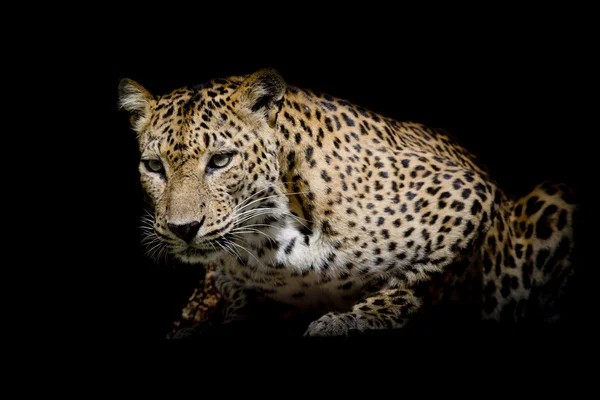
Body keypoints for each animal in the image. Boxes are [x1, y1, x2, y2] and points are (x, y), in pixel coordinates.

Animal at [116, 69, 576, 338]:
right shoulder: (225, 278)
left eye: (220, 161)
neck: (269, 241)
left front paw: (353, 319)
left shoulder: (470, 197)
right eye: (154, 166)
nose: (183, 229)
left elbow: (416, 281)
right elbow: (235, 299)